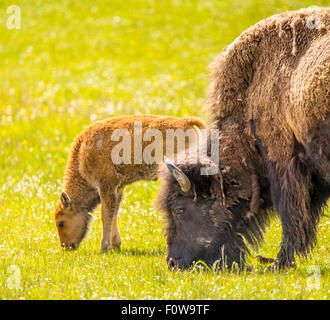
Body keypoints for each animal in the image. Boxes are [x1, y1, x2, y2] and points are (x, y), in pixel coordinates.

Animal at [54, 114, 206, 251]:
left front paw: (104, 248)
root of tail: (185, 121)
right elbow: (114, 213)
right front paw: (115, 246)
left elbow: (106, 215)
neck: (81, 154)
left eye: (61, 223)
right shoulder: (118, 188)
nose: (66, 247)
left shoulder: (106, 186)